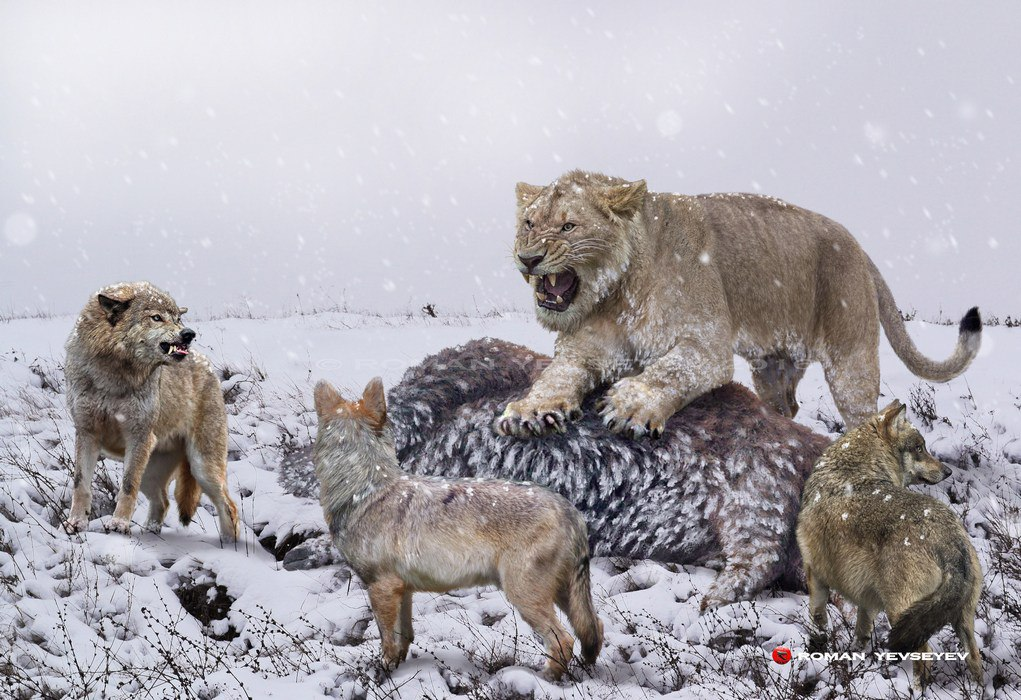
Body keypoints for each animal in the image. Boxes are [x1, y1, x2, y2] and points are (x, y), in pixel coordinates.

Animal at [62, 281, 238, 538]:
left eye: (178, 319)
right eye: (157, 318)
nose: (189, 334)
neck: (113, 375)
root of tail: (208, 368)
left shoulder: (139, 435)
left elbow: (127, 486)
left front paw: (118, 525)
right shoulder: (86, 433)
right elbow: (80, 484)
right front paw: (75, 523)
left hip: (202, 469)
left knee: (229, 507)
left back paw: (228, 544)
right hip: (150, 473)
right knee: (163, 502)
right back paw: (150, 532)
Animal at [308, 377, 596, 681]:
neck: (363, 490)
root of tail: (570, 509)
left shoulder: (381, 588)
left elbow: (388, 643)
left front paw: (382, 677)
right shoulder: (402, 590)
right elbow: (404, 638)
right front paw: (400, 672)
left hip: (524, 596)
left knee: (564, 640)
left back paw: (544, 678)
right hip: (563, 596)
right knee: (594, 629)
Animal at [494, 168, 980, 438]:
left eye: (568, 227)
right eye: (529, 223)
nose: (528, 258)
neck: (615, 295)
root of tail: (860, 248)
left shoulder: (706, 345)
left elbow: (670, 370)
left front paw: (632, 406)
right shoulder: (586, 347)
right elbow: (557, 376)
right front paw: (529, 410)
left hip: (851, 358)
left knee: (866, 416)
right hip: (772, 366)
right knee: (787, 407)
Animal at [796, 404, 980, 689]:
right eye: (919, 448)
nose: (948, 472)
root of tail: (952, 541)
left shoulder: (814, 573)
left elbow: (818, 621)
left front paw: (817, 647)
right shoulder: (867, 597)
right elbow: (861, 633)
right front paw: (856, 658)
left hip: (900, 614)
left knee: (924, 656)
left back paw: (914, 689)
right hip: (959, 622)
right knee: (976, 662)